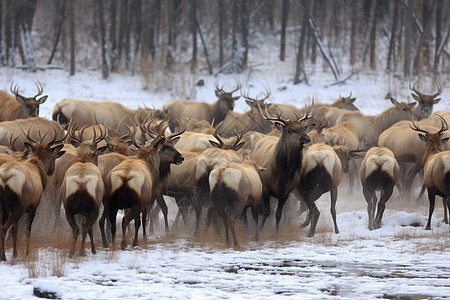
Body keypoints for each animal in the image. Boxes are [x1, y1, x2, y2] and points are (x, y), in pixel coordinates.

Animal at [0, 127, 65, 262]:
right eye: (52, 156)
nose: (52, 169)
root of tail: (5, 179)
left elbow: (16, 229)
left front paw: (16, 253)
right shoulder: (33, 206)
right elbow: (26, 230)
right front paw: (25, 252)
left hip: (4, 207)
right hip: (17, 207)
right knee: (4, 229)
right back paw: (4, 256)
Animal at [59, 124, 107, 258]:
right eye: (97, 154)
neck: (83, 160)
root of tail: (81, 184)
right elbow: (90, 230)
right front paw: (92, 250)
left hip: (68, 208)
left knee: (76, 229)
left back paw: (71, 252)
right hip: (94, 207)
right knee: (86, 228)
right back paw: (82, 251)